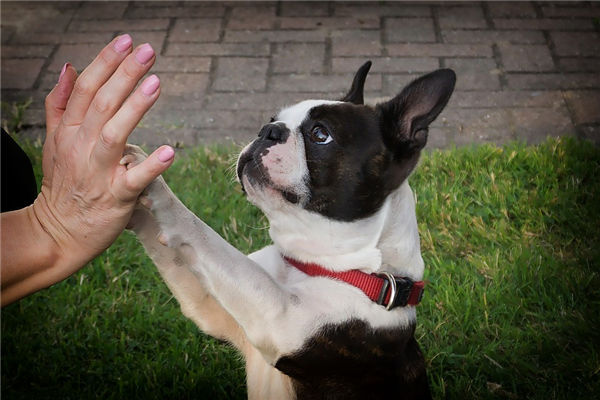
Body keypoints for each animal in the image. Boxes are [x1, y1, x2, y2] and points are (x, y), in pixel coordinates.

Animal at [125, 60, 454, 400]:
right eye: (273, 120)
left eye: (320, 134)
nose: (268, 130)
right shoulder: (210, 307)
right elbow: (176, 253)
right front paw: (132, 183)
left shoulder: (279, 318)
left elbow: (206, 237)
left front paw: (158, 193)